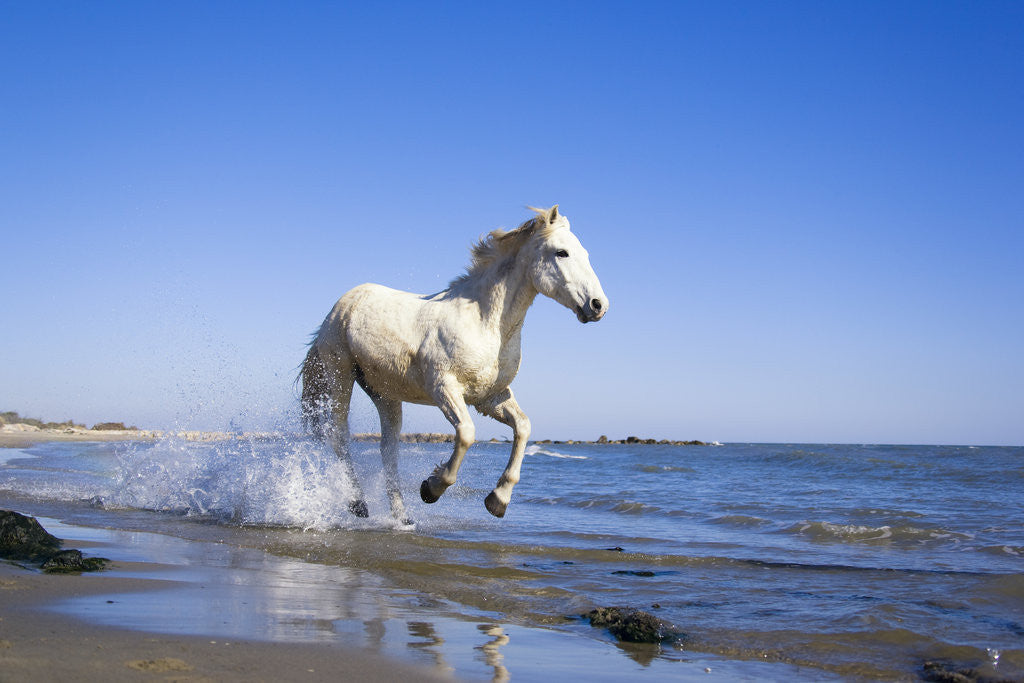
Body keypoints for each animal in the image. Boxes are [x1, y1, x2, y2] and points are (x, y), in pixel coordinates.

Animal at [300, 205, 608, 523]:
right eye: (562, 253)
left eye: (585, 253)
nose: (598, 305)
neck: (484, 322)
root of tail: (342, 304)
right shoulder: (444, 388)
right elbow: (467, 434)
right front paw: (431, 488)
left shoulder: (490, 397)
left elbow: (523, 427)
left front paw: (498, 500)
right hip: (340, 376)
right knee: (339, 436)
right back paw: (358, 503)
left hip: (385, 394)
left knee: (388, 451)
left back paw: (403, 517)